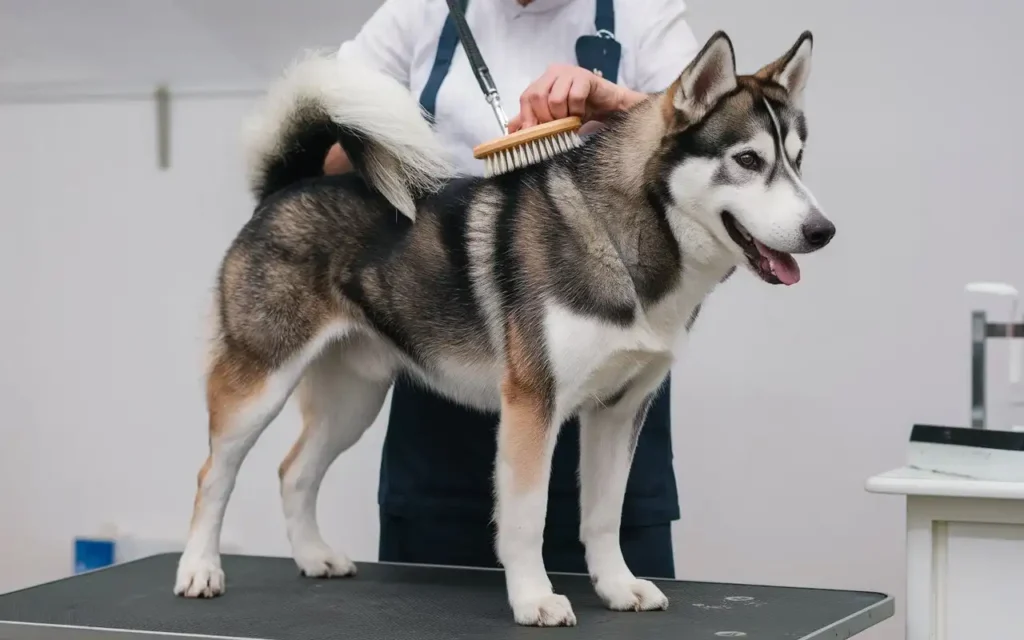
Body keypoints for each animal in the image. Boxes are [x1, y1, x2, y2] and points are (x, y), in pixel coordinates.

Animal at [174, 29, 831, 622]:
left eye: (798, 161)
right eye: (747, 160)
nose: (823, 230)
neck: (622, 241)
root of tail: (290, 184)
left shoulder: (619, 409)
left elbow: (604, 515)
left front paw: (618, 588)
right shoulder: (532, 405)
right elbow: (526, 517)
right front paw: (535, 598)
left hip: (353, 400)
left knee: (294, 472)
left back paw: (314, 557)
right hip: (258, 387)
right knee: (212, 476)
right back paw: (200, 569)